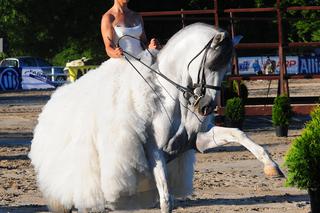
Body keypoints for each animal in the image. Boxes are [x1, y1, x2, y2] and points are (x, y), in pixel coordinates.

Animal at [28, 22, 282, 212]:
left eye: (227, 68)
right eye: (211, 64)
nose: (206, 107)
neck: (172, 99)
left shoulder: (198, 140)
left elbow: (238, 134)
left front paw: (272, 167)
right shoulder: (155, 151)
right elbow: (166, 197)